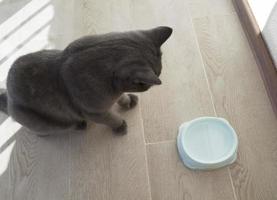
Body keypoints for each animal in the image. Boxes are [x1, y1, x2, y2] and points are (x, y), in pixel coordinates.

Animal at [0, 26, 171, 136]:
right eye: (144, 84)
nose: (149, 87)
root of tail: (8, 99)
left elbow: (121, 97)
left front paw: (127, 101)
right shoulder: (93, 113)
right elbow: (111, 118)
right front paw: (120, 125)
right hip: (42, 122)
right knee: (45, 131)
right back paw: (79, 125)